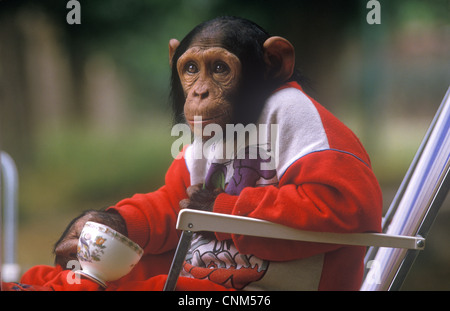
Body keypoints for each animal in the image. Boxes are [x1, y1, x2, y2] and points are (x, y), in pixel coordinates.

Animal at [8, 15, 382, 292]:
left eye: (219, 69)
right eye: (191, 69)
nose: (200, 93)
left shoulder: (303, 119)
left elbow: (341, 202)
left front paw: (206, 204)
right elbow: (166, 199)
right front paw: (87, 228)